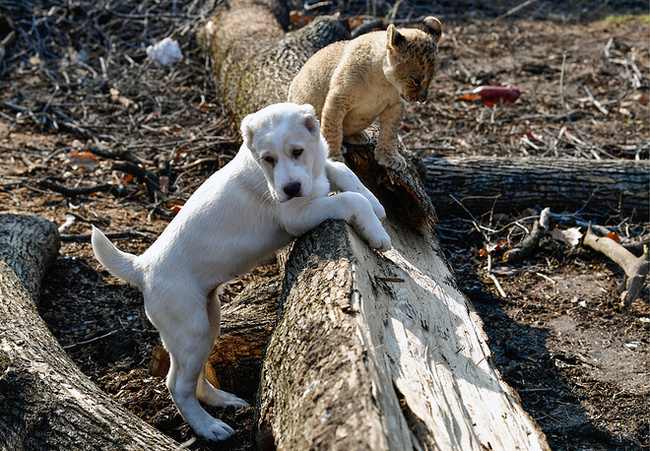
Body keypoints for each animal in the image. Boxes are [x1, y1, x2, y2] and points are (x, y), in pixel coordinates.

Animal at [91, 101, 390, 442]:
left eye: (297, 151)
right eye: (268, 159)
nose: (290, 188)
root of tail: (142, 267)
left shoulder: (318, 172)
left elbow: (341, 170)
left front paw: (375, 203)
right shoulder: (298, 216)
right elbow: (348, 199)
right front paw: (377, 232)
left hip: (209, 320)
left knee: (193, 377)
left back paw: (224, 400)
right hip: (190, 329)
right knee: (177, 385)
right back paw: (209, 427)